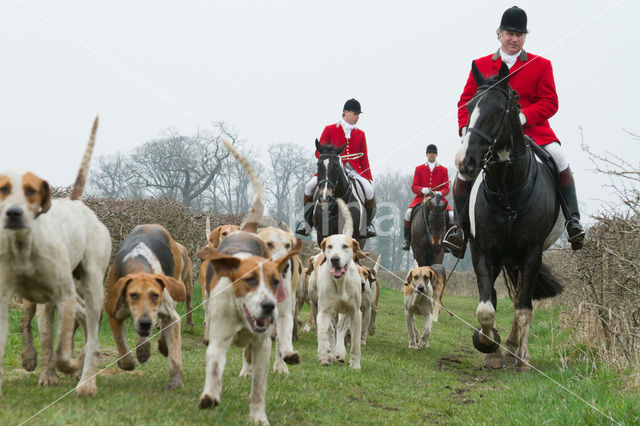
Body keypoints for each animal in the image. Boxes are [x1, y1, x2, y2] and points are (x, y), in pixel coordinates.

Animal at [0, 117, 111, 400]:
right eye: (3, 189)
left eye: (31, 191)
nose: (13, 213)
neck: (25, 245)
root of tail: (78, 204)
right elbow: (48, 340)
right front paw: (48, 373)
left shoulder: (64, 297)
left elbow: (64, 347)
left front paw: (71, 367)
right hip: (37, 300)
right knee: (29, 325)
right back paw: (33, 358)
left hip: (92, 286)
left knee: (87, 326)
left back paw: (86, 381)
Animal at [105, 226, 188, 390]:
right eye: (133, 295)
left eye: (155, 295)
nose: (145, 322)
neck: (137, 264)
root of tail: (153, 224)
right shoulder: (113, 315)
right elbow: (122, 348)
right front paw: (126, 362)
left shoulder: (171, 315)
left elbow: (175, 355)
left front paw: (175, 381)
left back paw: (162, 345)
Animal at [198, 138, 300, 424]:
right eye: (270, 244)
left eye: (289, 246)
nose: (284, 266)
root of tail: (246, 230)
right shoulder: (220, 339)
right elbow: (214, 365)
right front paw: (211, 394)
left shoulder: (270, 333)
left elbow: (261, 381)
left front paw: (258, 415)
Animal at [458, 61, 564, 372]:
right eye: (469, 107)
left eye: (497, 110)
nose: (465, 162)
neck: (507, 193)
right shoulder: (482, 251)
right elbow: (485, 307)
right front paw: (487, 343)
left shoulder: (531, 253)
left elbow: (524, 308)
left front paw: (523, 359)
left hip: (519, 259)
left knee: (519, 297)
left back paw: (514, 348)